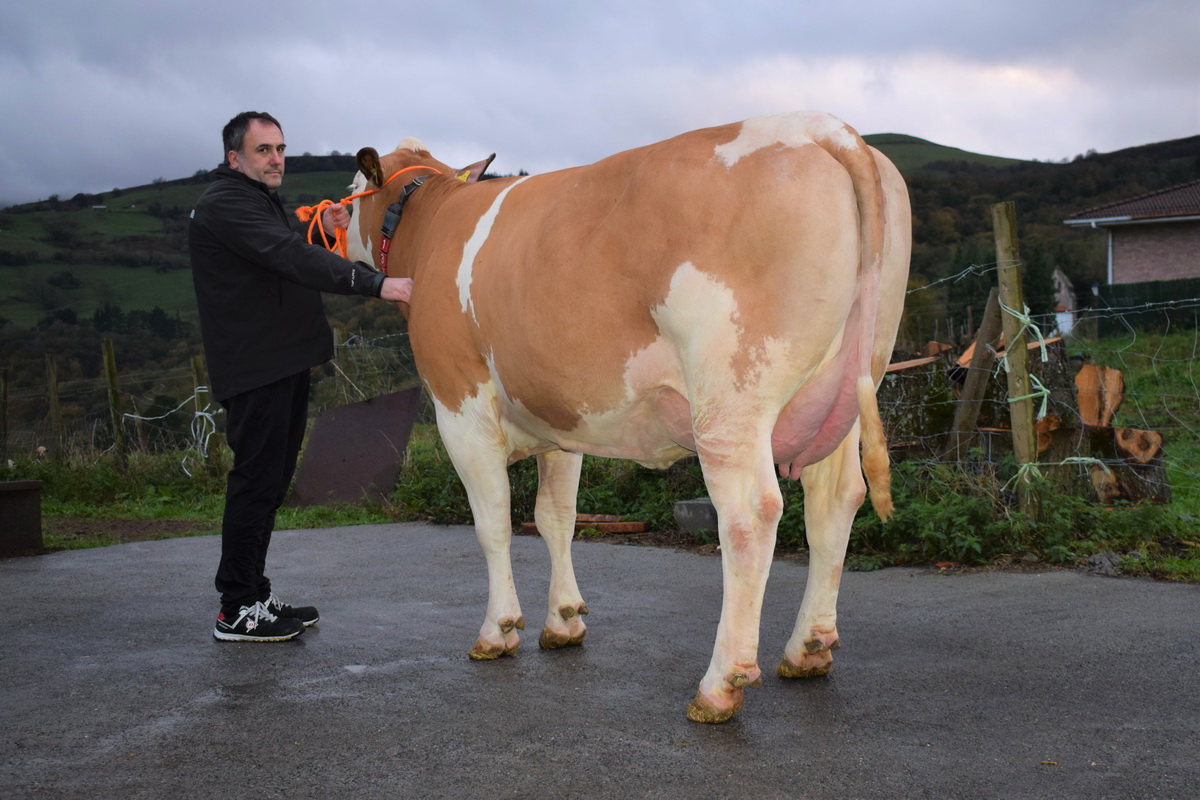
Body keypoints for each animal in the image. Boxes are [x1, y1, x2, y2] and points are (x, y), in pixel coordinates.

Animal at [338, 109, 907, 724]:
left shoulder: (458, 405)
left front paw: (498, 631)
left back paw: (720, 685)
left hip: (732, 397)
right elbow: (555, 517)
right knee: (835, 502)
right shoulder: (561, 424)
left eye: (353, 188)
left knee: (751, 517)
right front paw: (563, 621)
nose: (335, 221)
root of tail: (820, 126)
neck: (432, 223)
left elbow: (493, 522)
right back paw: (808, 650)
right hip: (846, 390)